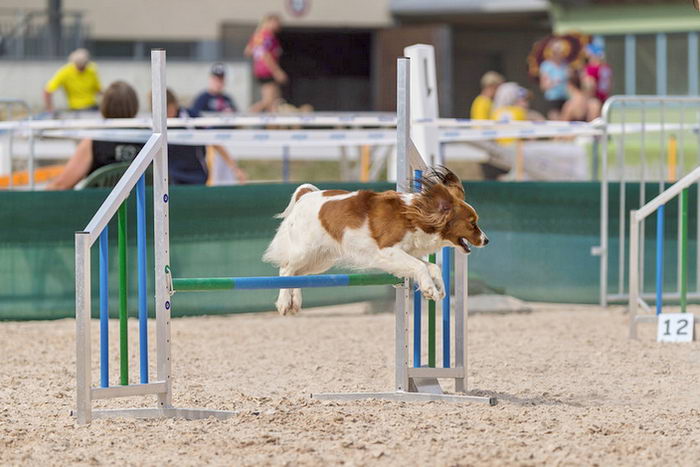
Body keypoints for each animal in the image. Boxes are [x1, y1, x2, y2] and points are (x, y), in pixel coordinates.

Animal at [262, 166, 486, 316]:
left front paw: (438, 288)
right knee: (286, 270)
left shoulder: (405, 254)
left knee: (296, 275)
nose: (486, 240)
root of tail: (305, 196)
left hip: (319, 260)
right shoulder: (388, 251)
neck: (414, 217)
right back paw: (284, 302)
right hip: (305, 251)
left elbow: (432, 267)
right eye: (472, 224)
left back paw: (296, 301)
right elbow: (421, 267)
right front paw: (429, 289)